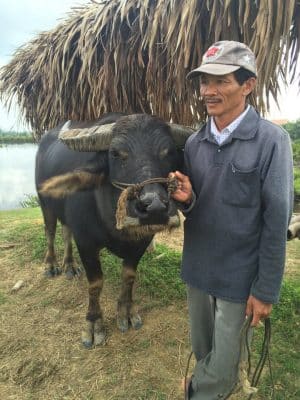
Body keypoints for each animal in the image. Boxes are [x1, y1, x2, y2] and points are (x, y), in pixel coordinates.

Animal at [35, 112, 195, 346]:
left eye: (169, 152)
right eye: (116, 153)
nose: (155, 207)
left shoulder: (141, 242)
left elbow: (128, 276)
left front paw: (126, 312)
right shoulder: (86, 242)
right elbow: (95, 283)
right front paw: (94, 323)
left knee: (65, 232)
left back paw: (70, 265)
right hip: (45, 204)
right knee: (50, 232)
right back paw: (51, 265)